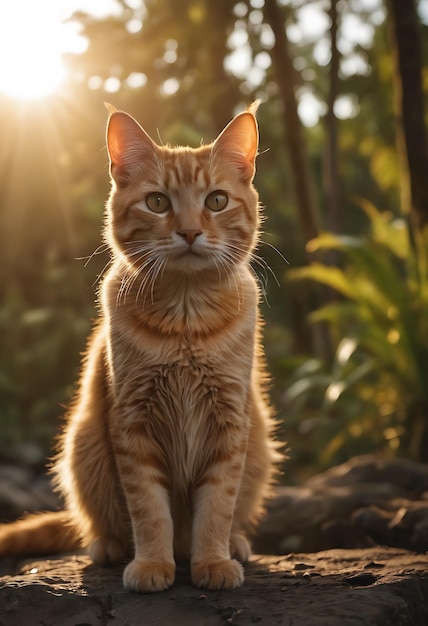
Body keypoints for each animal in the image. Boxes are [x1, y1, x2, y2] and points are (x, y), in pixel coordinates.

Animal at [0, 103, 280, 588]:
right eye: (158, 203)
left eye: (216, 201)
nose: (189, 232)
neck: (186, 323)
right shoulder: (132, 422)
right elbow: (149, 509)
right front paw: (151, 564)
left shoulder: (230, 421)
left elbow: (218, 506)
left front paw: (212, 560)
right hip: (83, 444)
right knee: (96, 522)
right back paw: (109, 547)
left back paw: (236, 544)